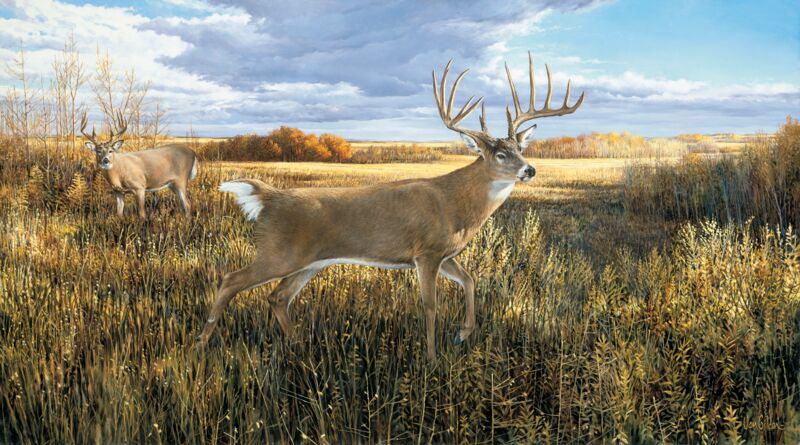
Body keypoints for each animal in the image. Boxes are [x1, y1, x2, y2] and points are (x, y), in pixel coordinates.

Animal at [197, 52, 584, 359]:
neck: (456, 204)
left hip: (309, 262)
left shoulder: (445, 254)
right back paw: (202, 340)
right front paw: (432, 358)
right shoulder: (426, 252)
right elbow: (430, 305)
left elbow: (471, 280)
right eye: (501, 155)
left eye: (521, 149)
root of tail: (269, 197)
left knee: (278, 297)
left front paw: (462, 334)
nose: (529, 169)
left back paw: (297, 345)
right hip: (279, 252)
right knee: (231, 279)